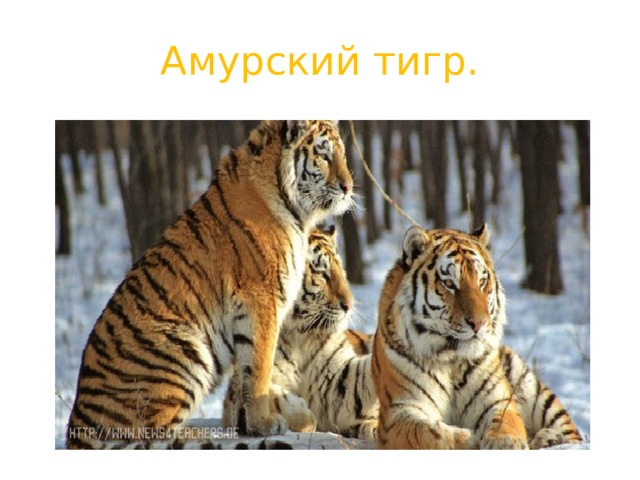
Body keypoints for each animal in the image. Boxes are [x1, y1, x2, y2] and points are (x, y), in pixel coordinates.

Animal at [65, 120, 354, 449]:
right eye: (324, 155)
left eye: (342, 155)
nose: (348, 187)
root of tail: (78, 425)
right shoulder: (262, 298)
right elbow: (260, 368)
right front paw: (265, 423)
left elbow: (248, 371)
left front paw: (251, 424)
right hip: (182, 350)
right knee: (152, 436)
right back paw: (205, 435)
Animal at [223, 226, 379, 441]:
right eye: (322, 273)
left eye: (341, 270)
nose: (349, 305)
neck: (300, 337)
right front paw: (298, 408)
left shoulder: (337, 384)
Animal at [371, 224, 583, 449]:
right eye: (449, 283)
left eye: (481, 281)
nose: (479, 323)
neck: (451, 360)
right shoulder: (400, 411)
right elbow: (431, 433)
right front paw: (470, 440)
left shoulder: (498, 401)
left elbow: (506, 423)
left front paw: (506, 443)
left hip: (534, 391)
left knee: (572, 433)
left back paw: (551, 437)